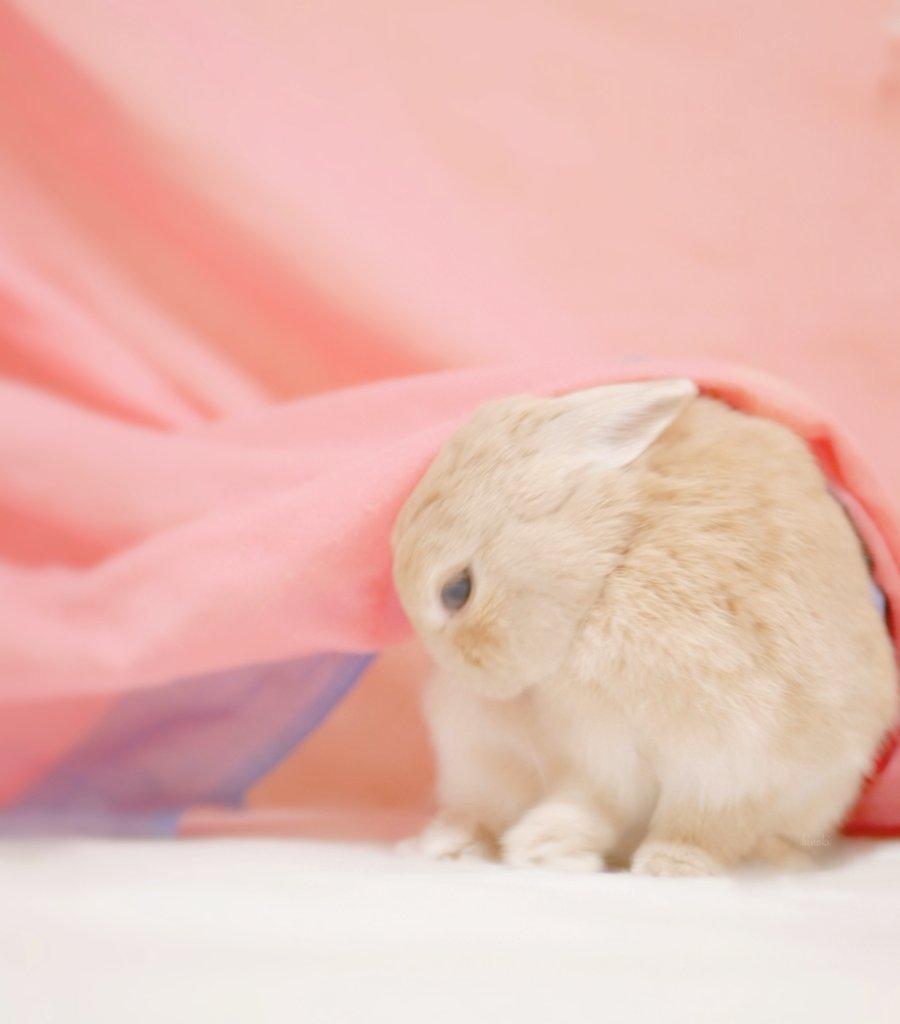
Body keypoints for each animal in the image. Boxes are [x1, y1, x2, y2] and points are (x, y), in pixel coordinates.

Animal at [391, 379, 898, 876]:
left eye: (457, 591)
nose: (476, 682)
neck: (617, 554)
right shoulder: (597, 755)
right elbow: (595, 804)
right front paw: (542, 847)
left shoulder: (742, 760)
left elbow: (706, 825)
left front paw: (669, 866)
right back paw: (452, 844)